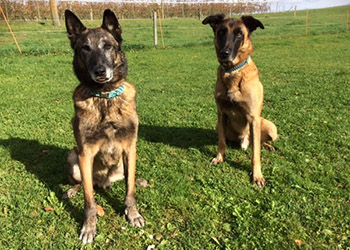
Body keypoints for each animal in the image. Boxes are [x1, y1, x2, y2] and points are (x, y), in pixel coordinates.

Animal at [63, 9, 144, 242]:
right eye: (85, 48)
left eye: (107, 46)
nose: (100, 71)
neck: (105, 97)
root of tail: (104, 183)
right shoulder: (85, 153)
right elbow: (89, 199)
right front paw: (89, 226)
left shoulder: (130, 148)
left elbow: (129, 189)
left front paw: (132, 213)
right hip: (73, 157)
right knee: (83, 184)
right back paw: (72, 190)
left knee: (127, 178)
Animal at [204, 14, 278, 187]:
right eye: (221, 32)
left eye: (239, 34)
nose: (224, 53)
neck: (233, 72)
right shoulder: (221, 114)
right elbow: (221, 141)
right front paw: (220, 157)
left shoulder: (253, 117)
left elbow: (256, 154)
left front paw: (257, 175)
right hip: (219, 125)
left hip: (269, 126)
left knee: (259, 142)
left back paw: (268, 146)